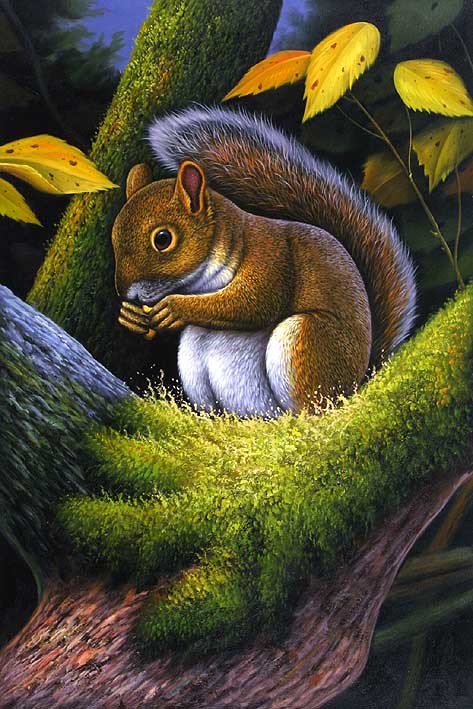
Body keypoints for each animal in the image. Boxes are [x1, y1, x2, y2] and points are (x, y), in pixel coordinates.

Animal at [112, 105, 416, 418]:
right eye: (113, 234)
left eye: (163, 239)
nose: (126, 293)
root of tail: (355, 383)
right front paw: (129, 316)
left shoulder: (273, 255)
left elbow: (255, 301)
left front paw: (174, 308)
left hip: (305, 341)